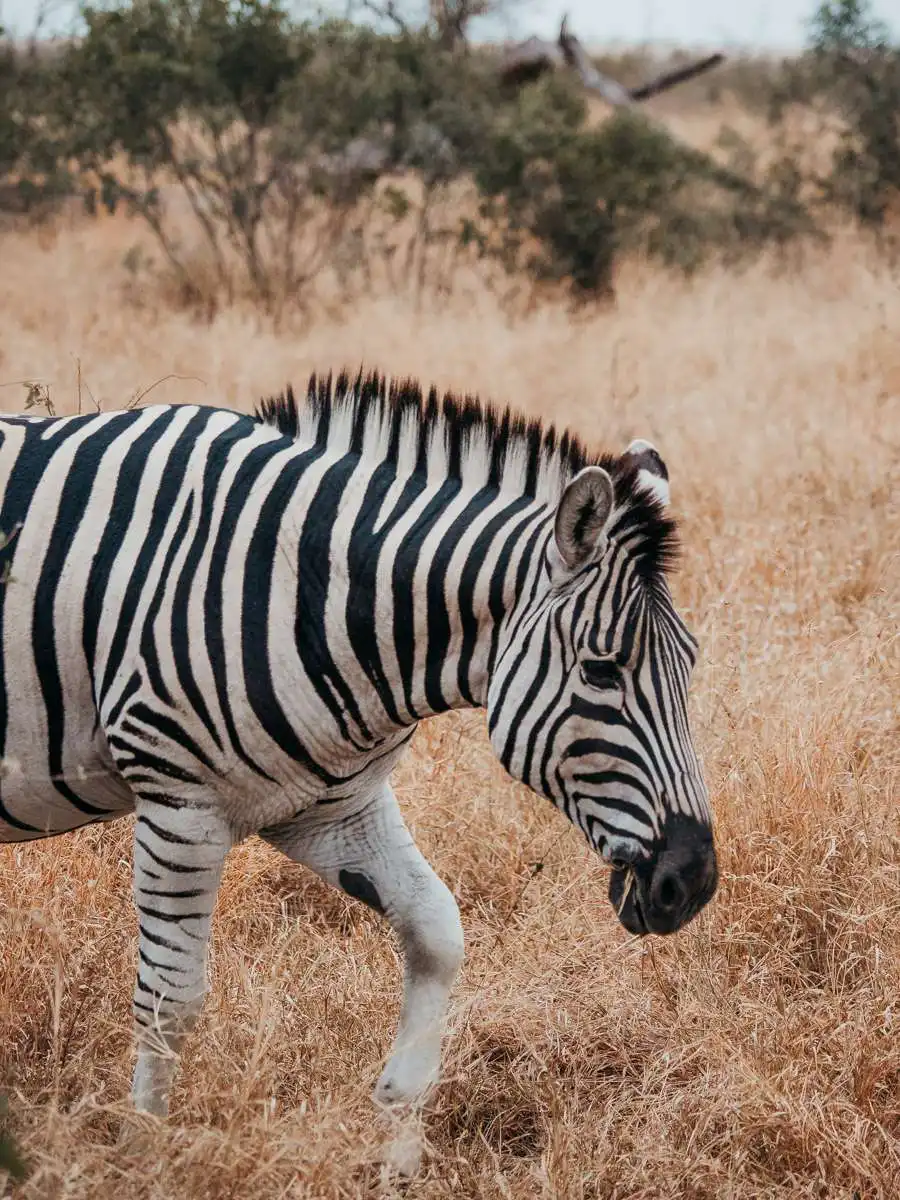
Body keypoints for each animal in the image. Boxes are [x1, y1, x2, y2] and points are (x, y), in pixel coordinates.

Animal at [0, 371, 717, 1119]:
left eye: (691, 663)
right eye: (602, 671)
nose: (692, 882)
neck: (304, 592)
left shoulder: (331, 809)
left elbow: (437, 934)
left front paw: (398, 1120)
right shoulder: (181, 807)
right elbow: (170, 1002)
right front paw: (146, 1138)